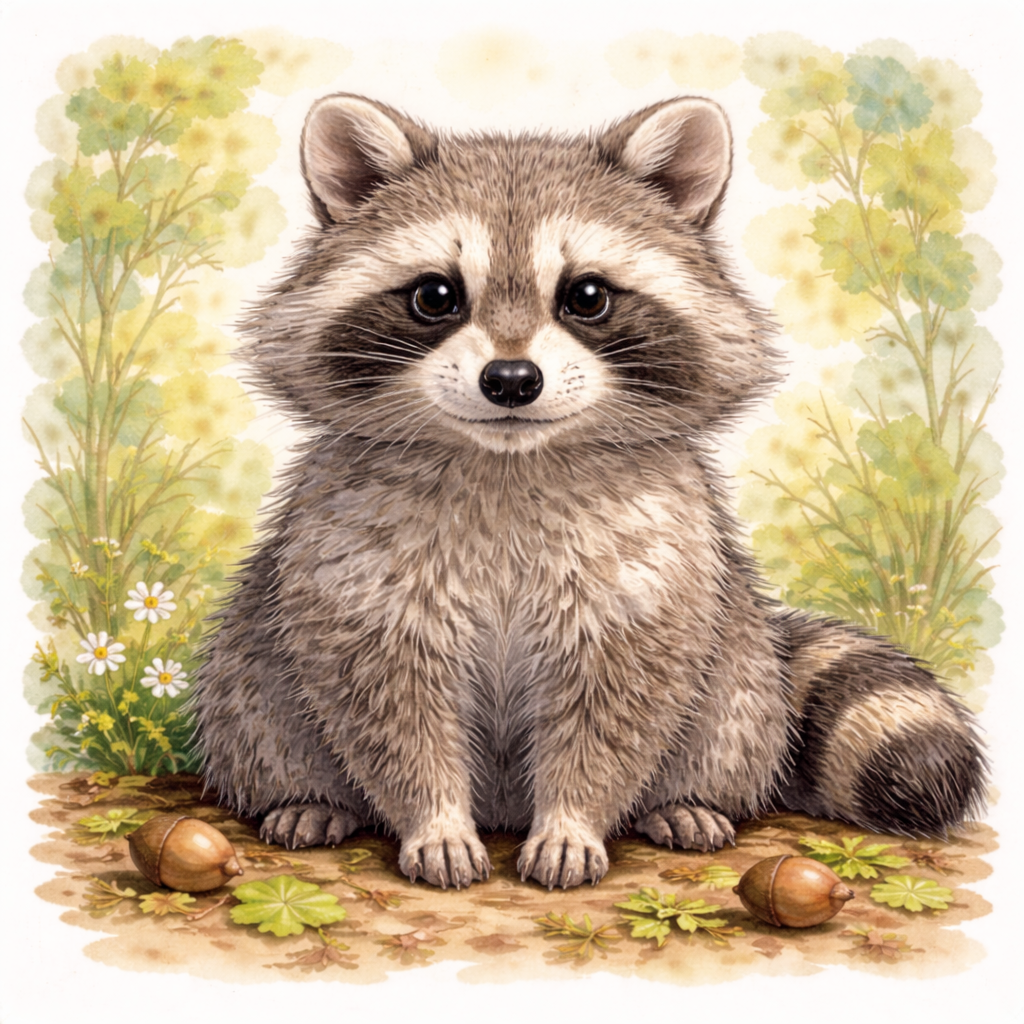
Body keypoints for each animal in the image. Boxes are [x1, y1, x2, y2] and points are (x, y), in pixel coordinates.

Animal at [194, 94, 987, 889]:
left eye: (588, 296)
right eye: (436, 295)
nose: (512, 381)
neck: (509, 464)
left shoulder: (655, 558)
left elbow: (613, 705)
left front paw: (572, 821)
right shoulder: (353, 556)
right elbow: (391, 705)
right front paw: (435, 819)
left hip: (743, 668)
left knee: (730, 712)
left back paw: (689, 799)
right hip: (248, 675)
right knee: (258, 710)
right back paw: (307, 797)